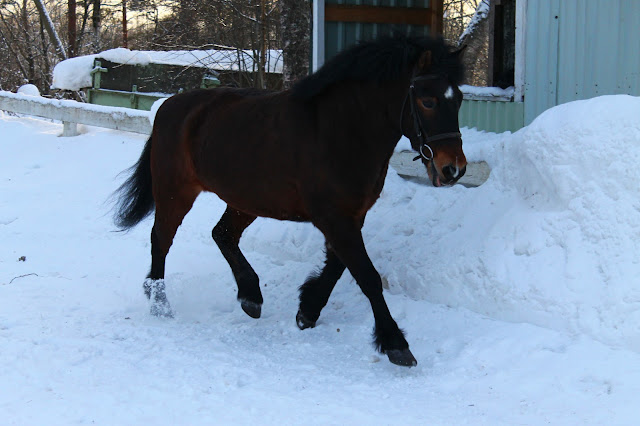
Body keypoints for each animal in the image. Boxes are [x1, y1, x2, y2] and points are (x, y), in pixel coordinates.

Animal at [113, 35, 466, 367]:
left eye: (459, 99)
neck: (342, 131)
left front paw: (307, 310)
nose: (453, 169)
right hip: (175, 190)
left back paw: (250, 296)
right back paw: (160, 303)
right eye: (428, 100)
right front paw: (395, 343)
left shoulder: (350, 216)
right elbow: (367, 276)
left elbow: (338, 266)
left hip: (245, 200)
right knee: (161, 240)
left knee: (222, 234)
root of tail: (169, 106)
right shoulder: (334, 218)